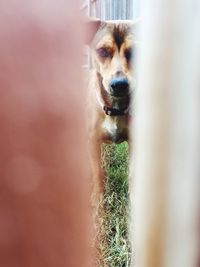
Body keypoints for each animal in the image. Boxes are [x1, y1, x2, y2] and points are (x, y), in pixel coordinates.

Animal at [86, 18, 139, 199]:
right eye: (102, 51)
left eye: (135, 51)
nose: (119, 84)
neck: (115, 108)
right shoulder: (92, 141)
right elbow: (97, 173)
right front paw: (98, 198)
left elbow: (133, 174)